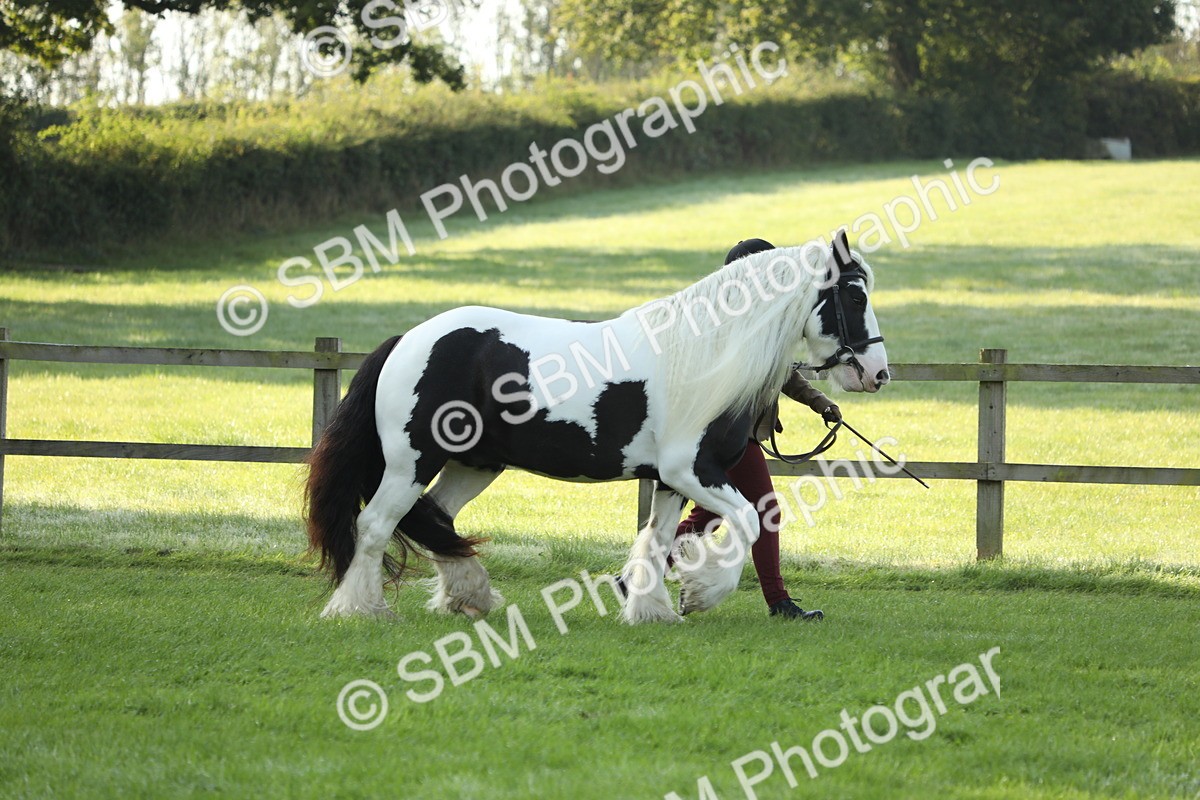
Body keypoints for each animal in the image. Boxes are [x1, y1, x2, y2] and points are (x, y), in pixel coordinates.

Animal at [305, 229, 889, 624]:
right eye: (855, 295)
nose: (878, 373)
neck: (705, 355)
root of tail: (406, 340)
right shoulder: (692, 470)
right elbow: (746, 520)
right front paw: (700, 594)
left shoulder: (672, 479)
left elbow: (658, 539)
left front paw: (653, 610)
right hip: (412, 460)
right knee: (376, 524)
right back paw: (359, 610)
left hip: (475, 464)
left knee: (436, 519)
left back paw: (468, 596)